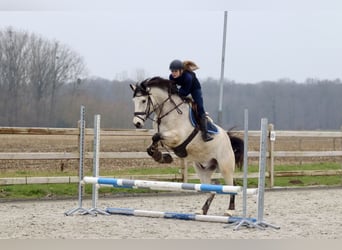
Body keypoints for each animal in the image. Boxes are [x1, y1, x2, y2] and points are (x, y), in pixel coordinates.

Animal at [129, 77, 243, 216]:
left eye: (144, 100)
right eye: (134, 101)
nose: (137, 123)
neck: (167, 112)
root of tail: (228, 138)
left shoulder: (177, 137)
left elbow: (156, 136)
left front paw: (160, 156)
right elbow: (153, 140)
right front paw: (160, 156)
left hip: (225, 166)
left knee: (231, 185)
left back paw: (230, 210)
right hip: (202, 168)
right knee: (212, 187)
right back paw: (202, 209)